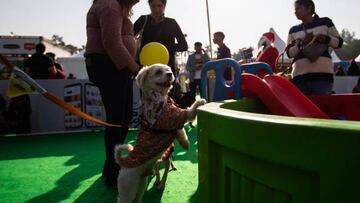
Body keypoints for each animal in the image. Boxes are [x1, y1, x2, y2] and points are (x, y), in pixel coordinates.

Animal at [115, 63, 205, 203]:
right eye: (158, 72)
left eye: (168, 70)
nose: (170, 74)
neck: (159, 97)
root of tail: (123, 164)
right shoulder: (172, 117)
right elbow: (190, 111)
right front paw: (200, 102)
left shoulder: (173, 123)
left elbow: (181, 130)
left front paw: (185, 142)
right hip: (128, 190)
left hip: (141, 184)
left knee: (137, 198)